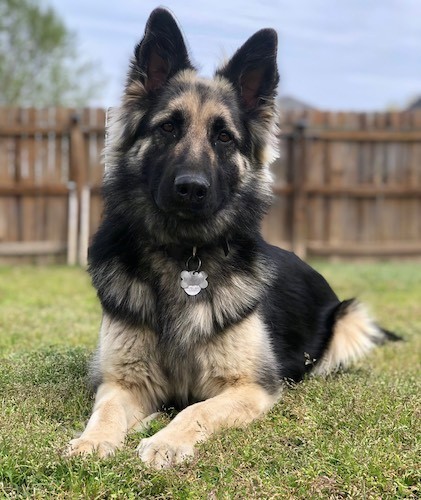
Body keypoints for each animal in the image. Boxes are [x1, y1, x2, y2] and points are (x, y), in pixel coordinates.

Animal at [65, 6, 398, 468]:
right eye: (168, 128)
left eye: (223, 136)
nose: (191, 188)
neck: (184, 255)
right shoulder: (122, 380)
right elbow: (108, 409)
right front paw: (92, 441)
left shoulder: (249, 387)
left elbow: (195, 410)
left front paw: (166, 441)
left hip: (349, 323)